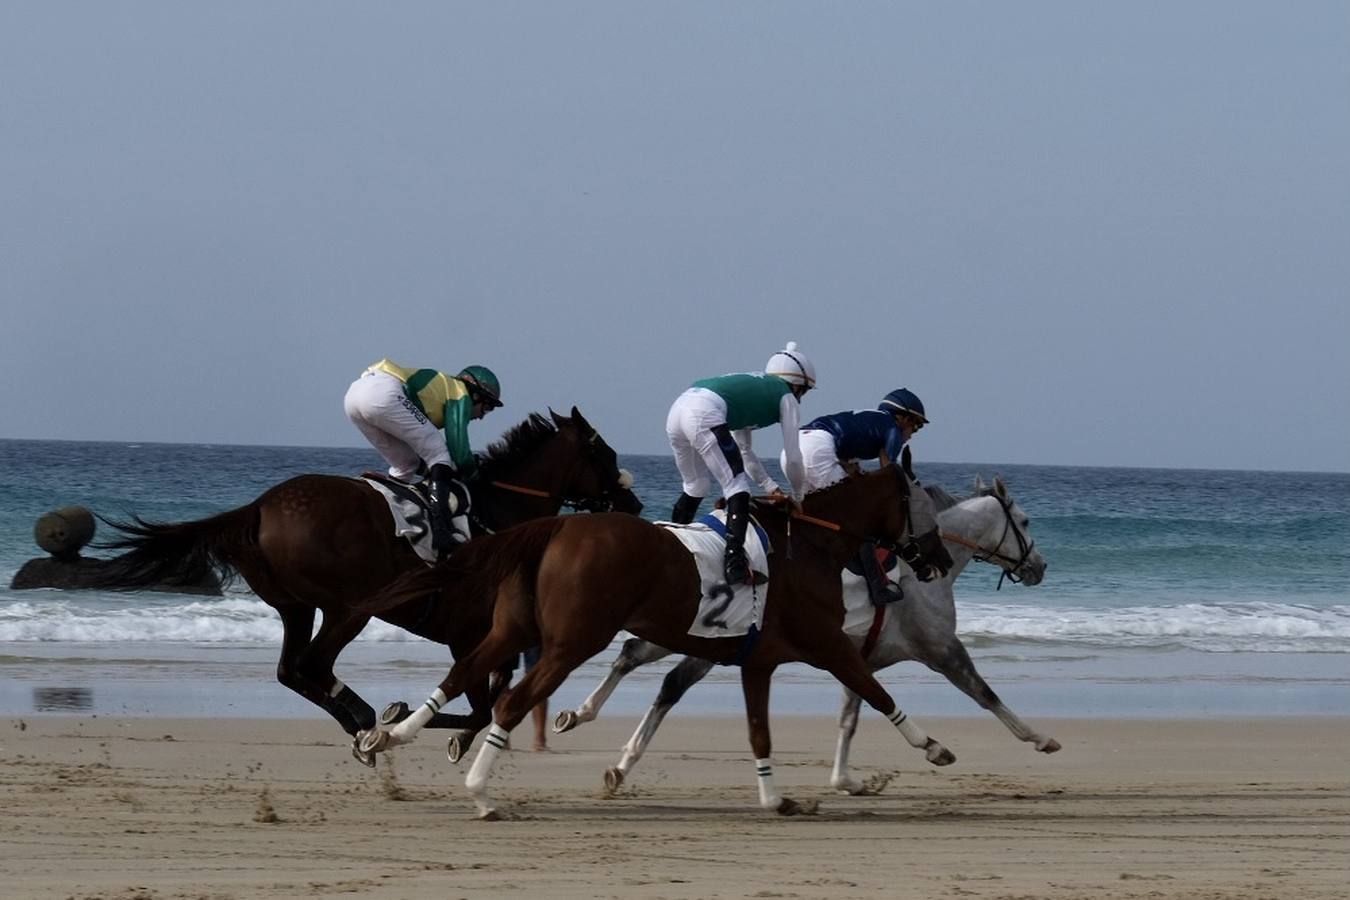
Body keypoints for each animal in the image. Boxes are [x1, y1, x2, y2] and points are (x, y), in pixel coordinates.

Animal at [96, 407, 642, 761]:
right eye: (606, 454)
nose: (633, 505)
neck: (499, 515)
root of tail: (260, 508)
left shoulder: (483, 636)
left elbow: (486, 701)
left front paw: (416, 722)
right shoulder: (469, 634)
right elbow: (481, 704)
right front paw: (404, 720)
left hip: (296, 606)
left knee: (291, 670)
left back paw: (358, 723)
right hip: (349, 605)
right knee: (313, 664)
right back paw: (362, 719)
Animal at [353, 464, 955, 825]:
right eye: (924, 506)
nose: (939, 558)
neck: (811, 544)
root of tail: (557, 527)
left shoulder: (757, 661)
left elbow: (758, 730)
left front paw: (774, 797)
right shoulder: (827, 643)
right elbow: (875, 692)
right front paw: (933, 747)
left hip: (513, 630)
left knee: (459, 677)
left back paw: (389, 735)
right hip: (570, 643)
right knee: (510, 703)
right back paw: (481, 792)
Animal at [550, 474, 1053, 793]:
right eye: (1026, 521)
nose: (1039, 567)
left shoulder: (861, 657)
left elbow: (853, 714)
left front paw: (847, 780)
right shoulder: (940, 648)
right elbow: (985, 694)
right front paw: (1038, 738)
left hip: (681, 631)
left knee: (634, 656)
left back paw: (589, 727)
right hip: (708, 643)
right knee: (666, 681)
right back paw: (611, 748)